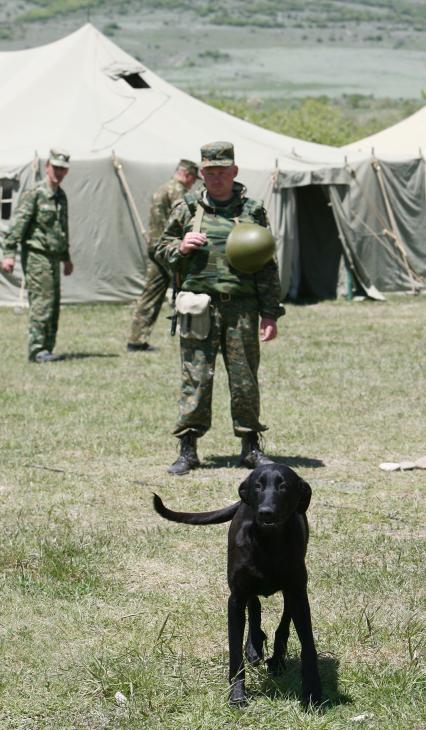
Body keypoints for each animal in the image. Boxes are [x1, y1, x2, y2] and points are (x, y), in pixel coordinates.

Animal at [155, 460, 322, 704]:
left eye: (284, 486)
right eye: (258, 486)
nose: (266, 512)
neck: (268, 543)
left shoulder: (298, 594)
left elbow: (307, 645)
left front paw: (312, 692)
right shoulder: (235, 600)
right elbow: (235, 653)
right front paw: (237, 694)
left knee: (281, 623)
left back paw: (276, 659)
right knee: (255, 607)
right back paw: (254, 646)